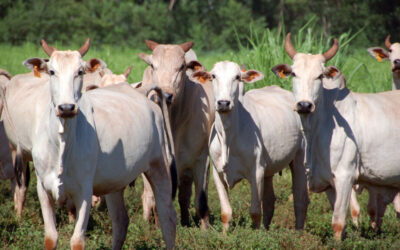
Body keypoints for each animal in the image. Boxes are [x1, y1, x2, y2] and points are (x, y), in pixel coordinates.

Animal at [191, 61, 310, 231]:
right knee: (269, 202)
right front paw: (225, 234)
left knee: (300, 200)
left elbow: (255, 212)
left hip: (300, 158)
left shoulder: (257, 171)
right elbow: (226, 213)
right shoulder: (217, 173)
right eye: (213, 76)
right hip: (269, 168)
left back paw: (298, 232)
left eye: (237, 77)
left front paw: (256, 234)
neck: (228, 137)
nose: (223, 103)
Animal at [274, 32, 400, 238]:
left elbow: (339, 221)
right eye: (294, 73)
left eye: (319, 76)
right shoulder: (329, 183)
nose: (304, 105)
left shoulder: (345, 176)